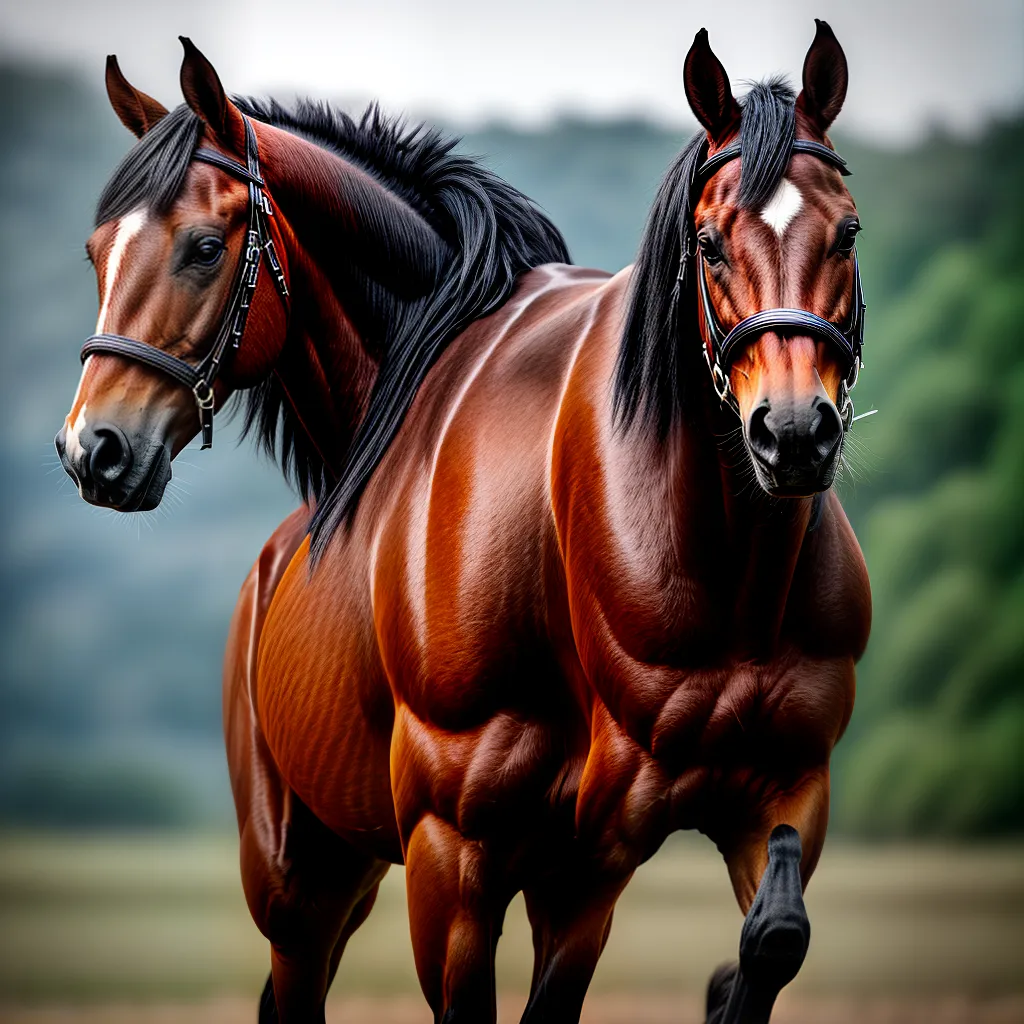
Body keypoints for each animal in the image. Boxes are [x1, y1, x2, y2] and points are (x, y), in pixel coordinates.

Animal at [56, 21, 871, 1024]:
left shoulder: (739, 810)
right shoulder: (456, 854)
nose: (96, 447)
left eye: (207, 246)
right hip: (297, 881)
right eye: (709, 244)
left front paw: (723, 984)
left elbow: (772, 941)